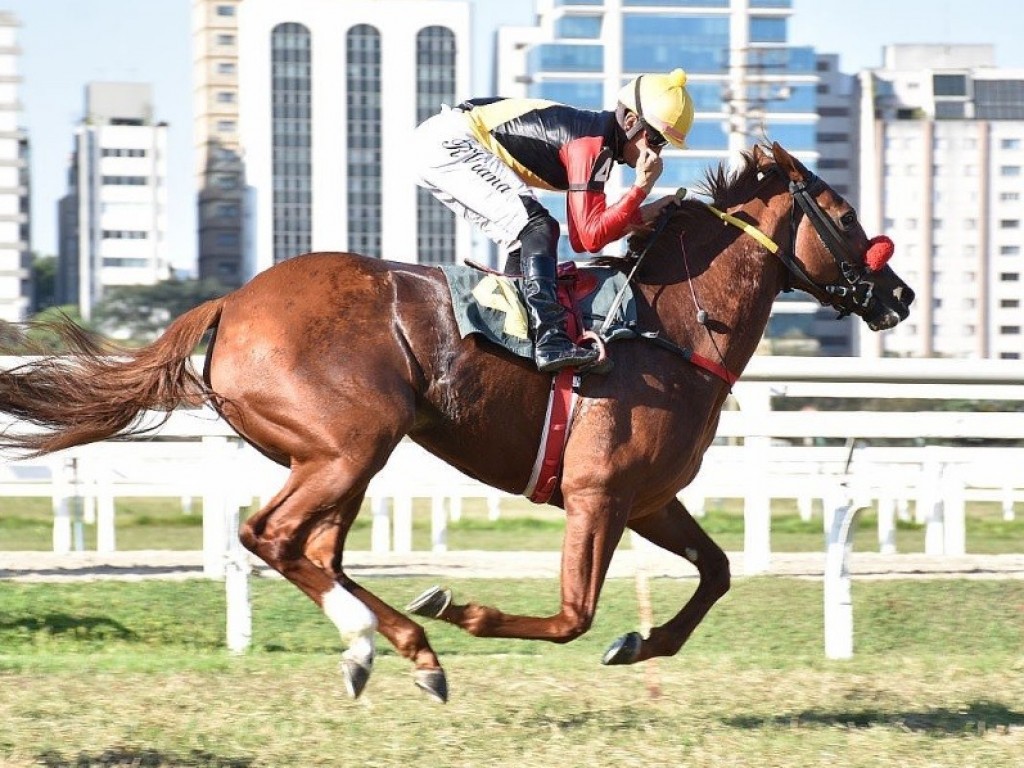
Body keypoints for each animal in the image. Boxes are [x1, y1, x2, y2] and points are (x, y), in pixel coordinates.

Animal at [0, 144, 913, 704]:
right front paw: (471, 613)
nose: (899, 294)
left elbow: (716, 572)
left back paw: (391, 647)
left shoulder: (649, 498)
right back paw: (390, 639)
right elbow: (573, 613)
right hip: (351, 443)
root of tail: (232, 301)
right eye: (843, 212)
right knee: (273, 536)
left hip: (342, 456)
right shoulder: (598, 494)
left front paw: (639, 644)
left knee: (316, 552)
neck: (673, 328)